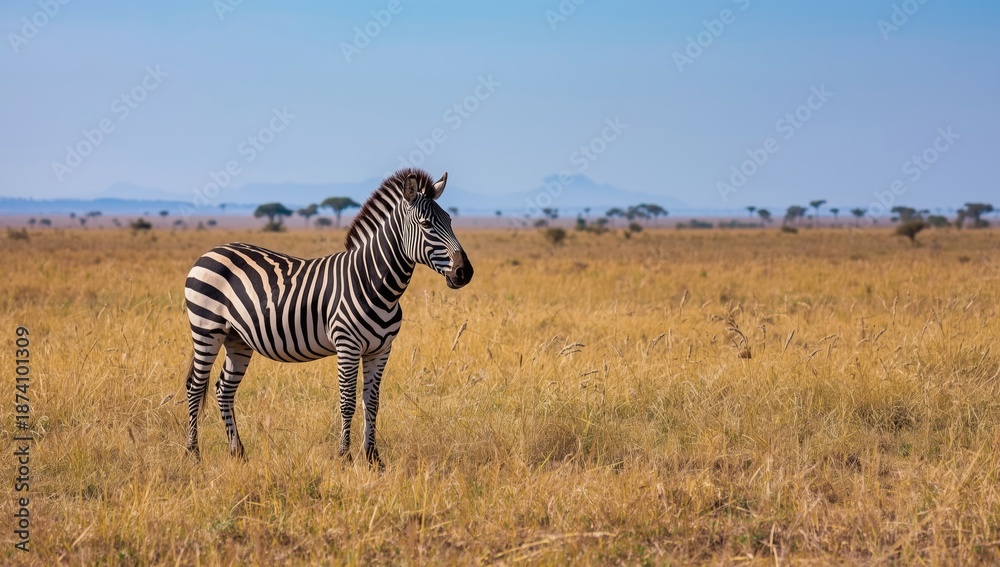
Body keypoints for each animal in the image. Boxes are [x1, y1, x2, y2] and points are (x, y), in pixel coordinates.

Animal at [182, 168, 473, 468]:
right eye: (426, 224)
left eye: (450, 221)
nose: (464, 272)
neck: (374, 283)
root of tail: (211, 252)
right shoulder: (347, 346)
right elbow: (348, 401)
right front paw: (344, 457)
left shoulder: (381, 350)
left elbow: (372, 403)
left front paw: (373, 459)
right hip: (206, 329)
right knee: (195, 387)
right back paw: (193, 454)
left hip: (237, 339)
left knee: (223, 389)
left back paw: (237, 452)